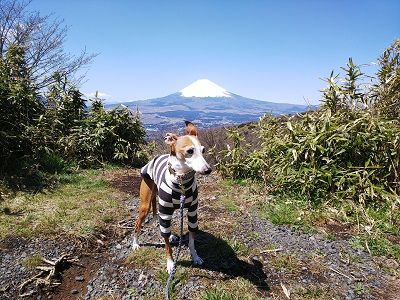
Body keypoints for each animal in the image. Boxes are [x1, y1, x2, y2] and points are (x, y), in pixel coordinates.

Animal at [132, 120, 212, 274]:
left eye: (203, 150)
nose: (208, 170)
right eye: (190, 151)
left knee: (161, 222)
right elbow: (167, 246)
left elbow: (192, 238)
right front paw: (170, 263)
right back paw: (135, 243)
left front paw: (195, 257)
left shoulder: (193, 212)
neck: (181, 181)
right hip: (146, 205)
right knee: (138, 224)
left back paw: (172, 235)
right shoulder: (165, 211)